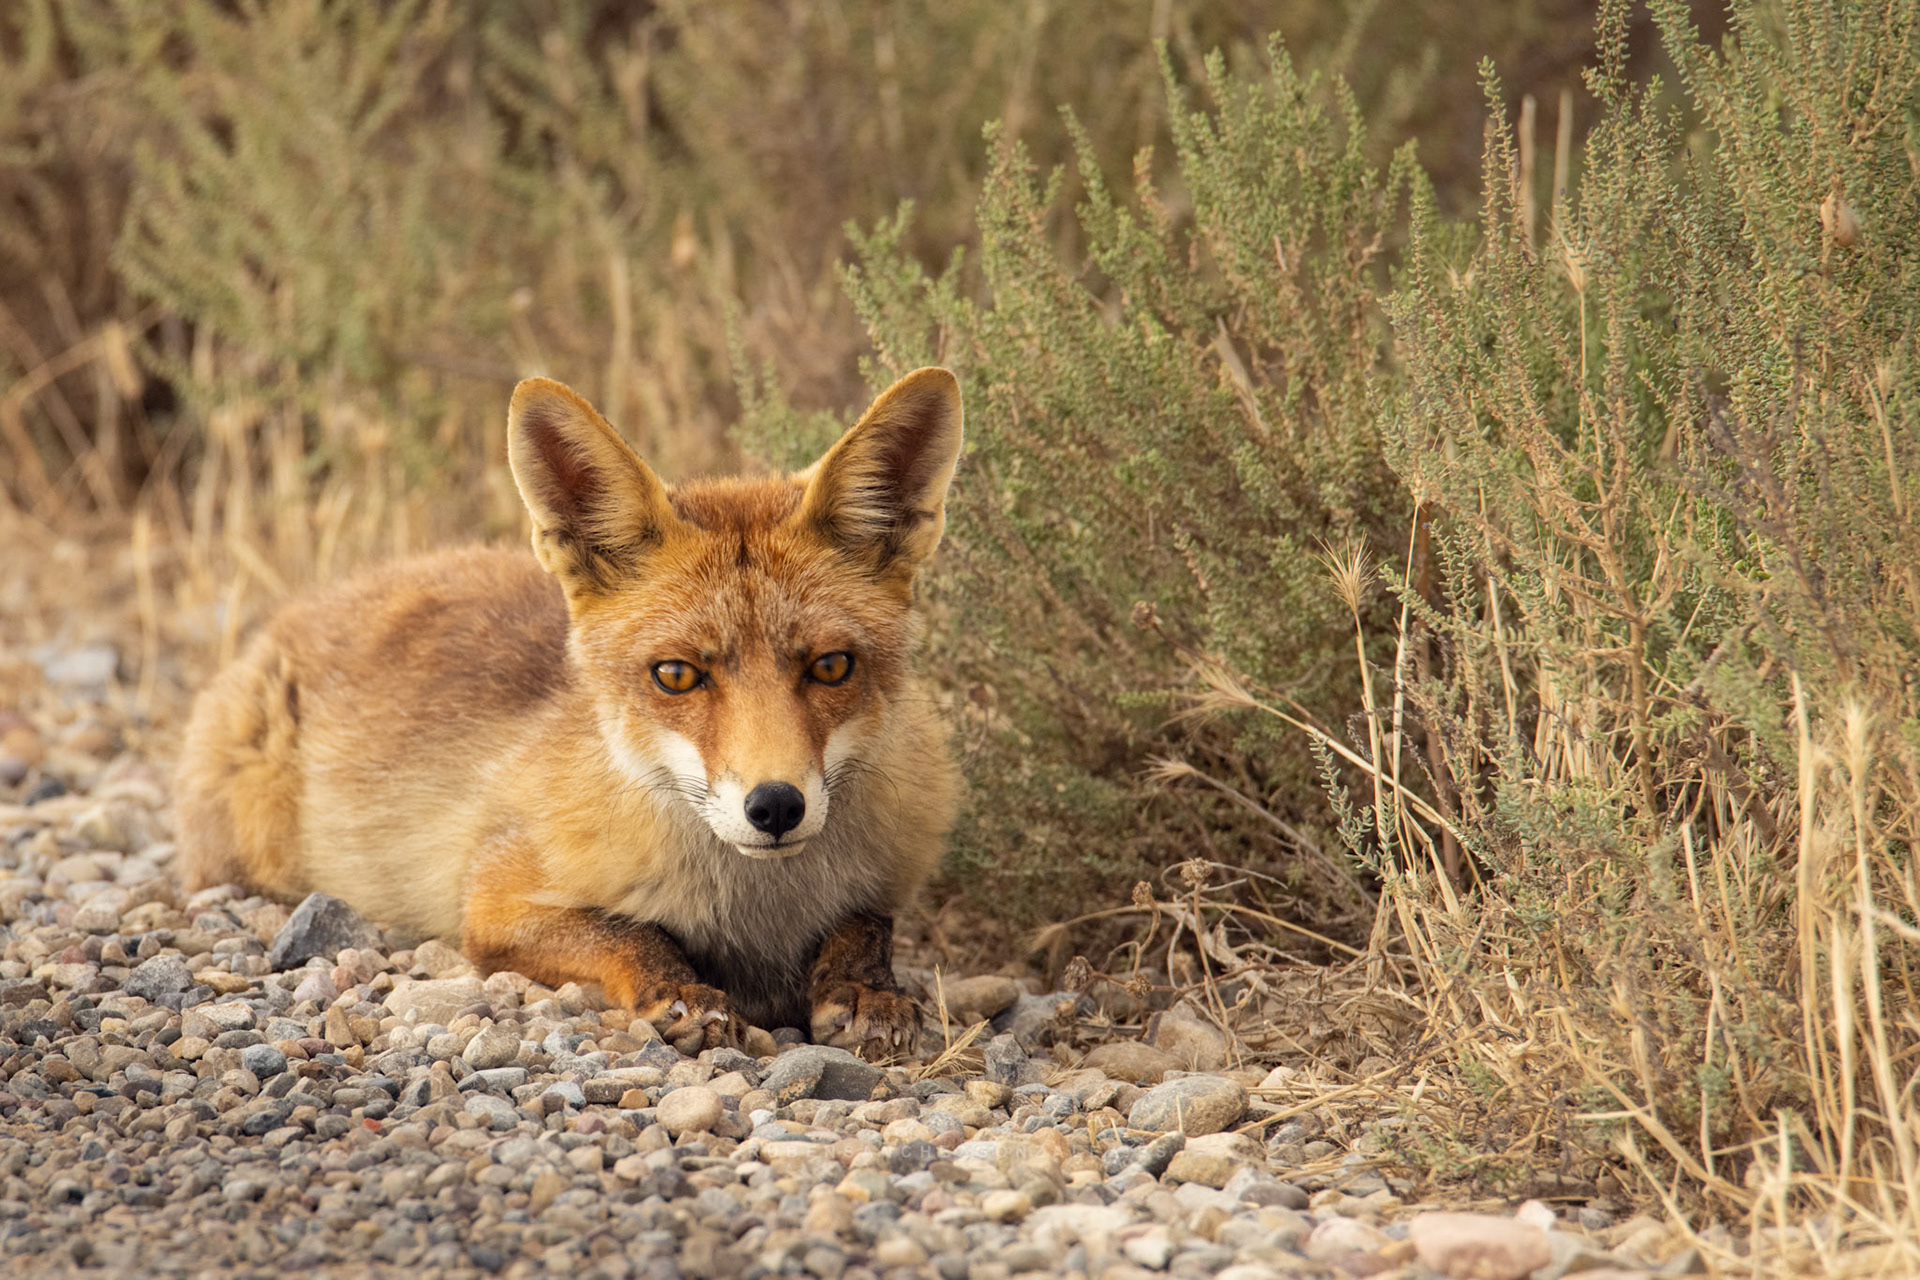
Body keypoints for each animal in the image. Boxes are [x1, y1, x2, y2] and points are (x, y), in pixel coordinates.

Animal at [172, 368, 964, 1058]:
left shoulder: (885, 878)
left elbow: (866, 927)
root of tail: (299, 610)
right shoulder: (496, 902)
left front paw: (865, 991)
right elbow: (632, 935)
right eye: (677, 675)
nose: (775, 806)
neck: (757, 912)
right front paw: (684, 993)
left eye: (831, 666)